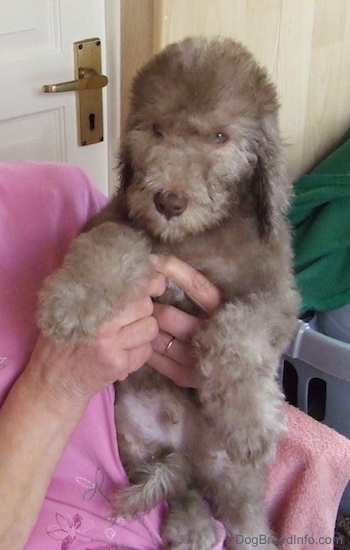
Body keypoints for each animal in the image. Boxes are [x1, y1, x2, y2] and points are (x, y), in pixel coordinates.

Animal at [39, 37, 300, 550]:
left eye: (219, 137)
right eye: (157, 129)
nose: (168, 202)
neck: (194, 238)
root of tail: (190, 451)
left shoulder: (276, 297)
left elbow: (237, 329)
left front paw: (250, 420)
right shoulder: (118, 220)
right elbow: (109, 245)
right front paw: (71, 302)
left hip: (235, 476)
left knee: (243, 516)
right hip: (134, 440)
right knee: (182, 489)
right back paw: (191, 526)